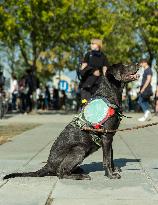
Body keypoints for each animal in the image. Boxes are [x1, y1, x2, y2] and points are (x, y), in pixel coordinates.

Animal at [3, 63, 139, 180]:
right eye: (125, 65)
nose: (138, 63)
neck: (108, 95)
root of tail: (48, 165)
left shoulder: (110, 136)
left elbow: (110, 156)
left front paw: (114, 170)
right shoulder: (106, 136)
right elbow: (106, 160)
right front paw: (110, 175)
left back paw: (79, 171)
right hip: (79, 150)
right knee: (61, 173)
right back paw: (80, 176)